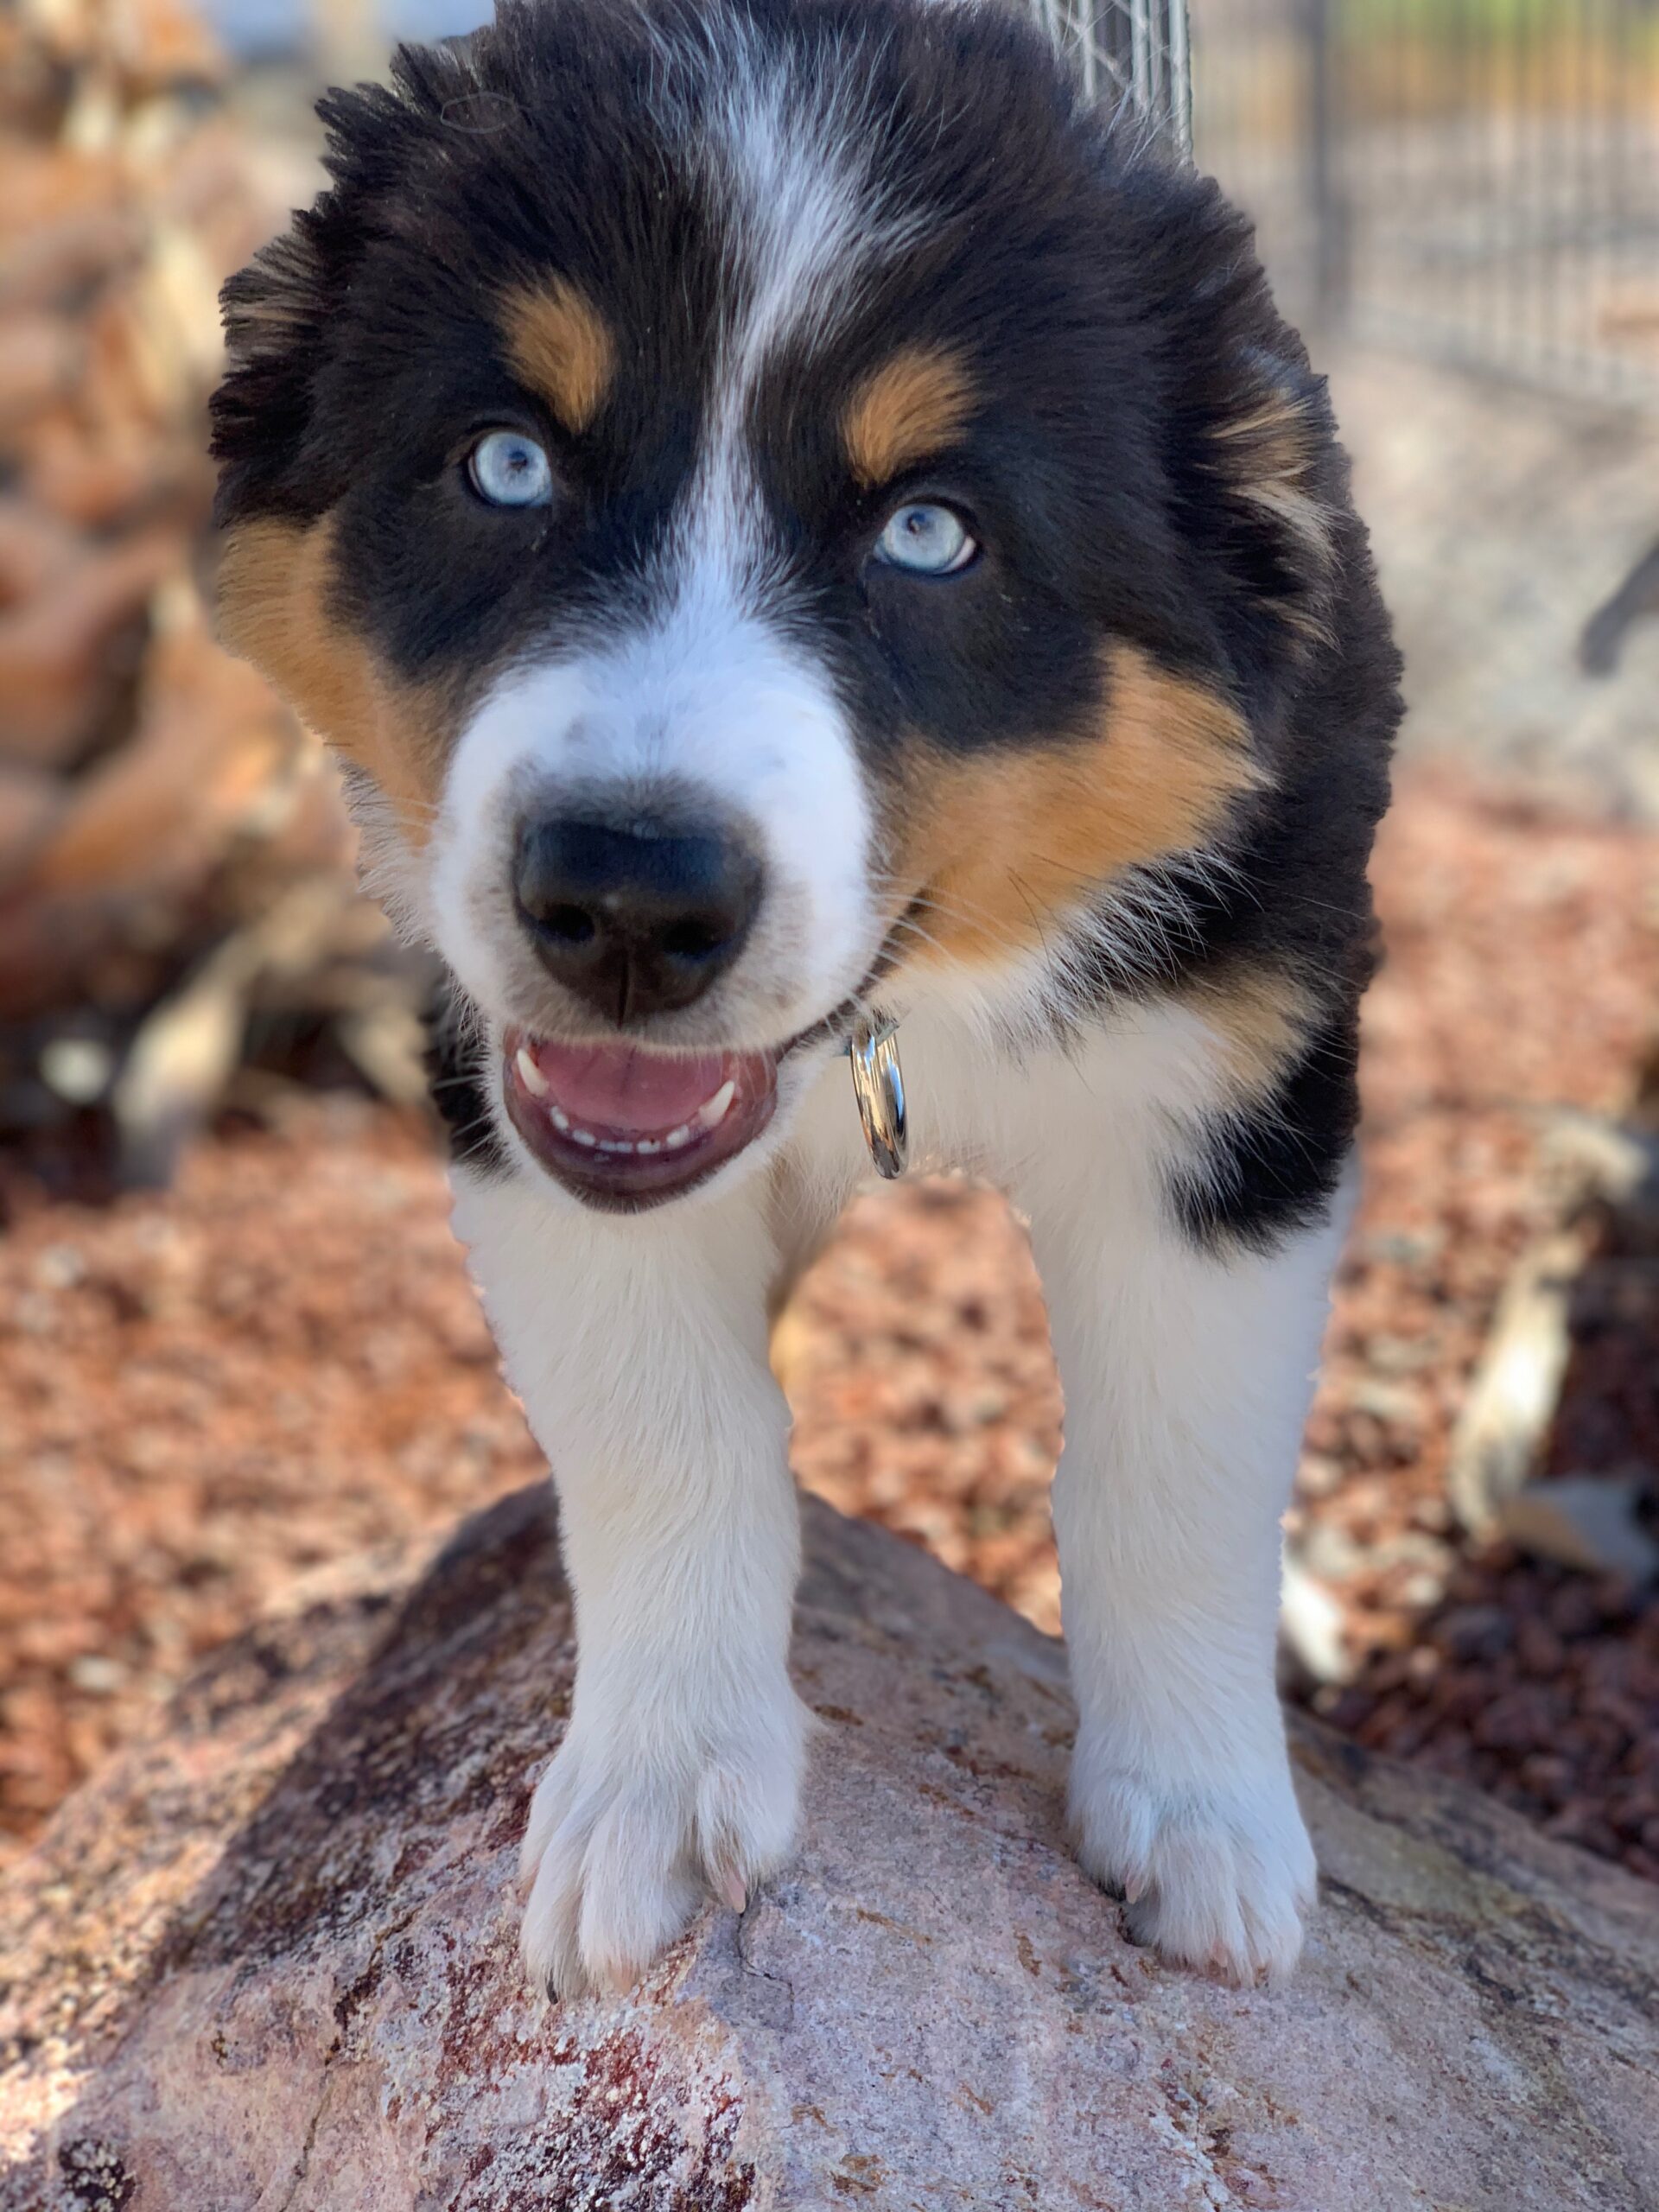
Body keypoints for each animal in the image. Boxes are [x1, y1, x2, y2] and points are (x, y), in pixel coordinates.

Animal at [207, 0, 1407, 2008]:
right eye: (506, 465)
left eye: (931, 531)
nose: (623, 901)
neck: (907, 1012)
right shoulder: (516, 1100)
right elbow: (660, 1425)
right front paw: (657, 1789)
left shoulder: (1232, 1087)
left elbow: (1178, 1469)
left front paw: (1202, 1822)